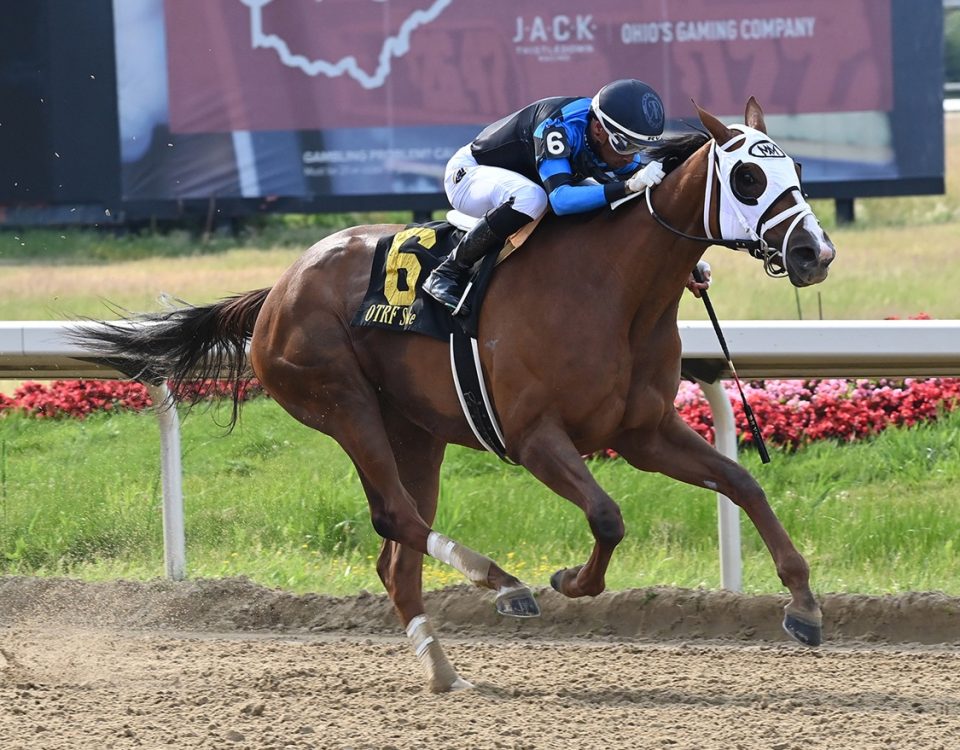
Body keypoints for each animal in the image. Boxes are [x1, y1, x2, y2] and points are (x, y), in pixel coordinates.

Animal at [75, 98, 836, 692]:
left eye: (797, 174)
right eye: (747, 176)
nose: (814, 254)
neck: (614, 288)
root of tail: (277, 290)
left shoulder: (643, 431)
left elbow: (742, 483)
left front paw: (803, 604)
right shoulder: (534, 437)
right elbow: (608, 516)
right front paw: (568, 582)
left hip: (416, 431)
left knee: (395, 551)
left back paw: (441, 667)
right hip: (342, 402)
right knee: (393, 518)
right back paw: (504, 583)